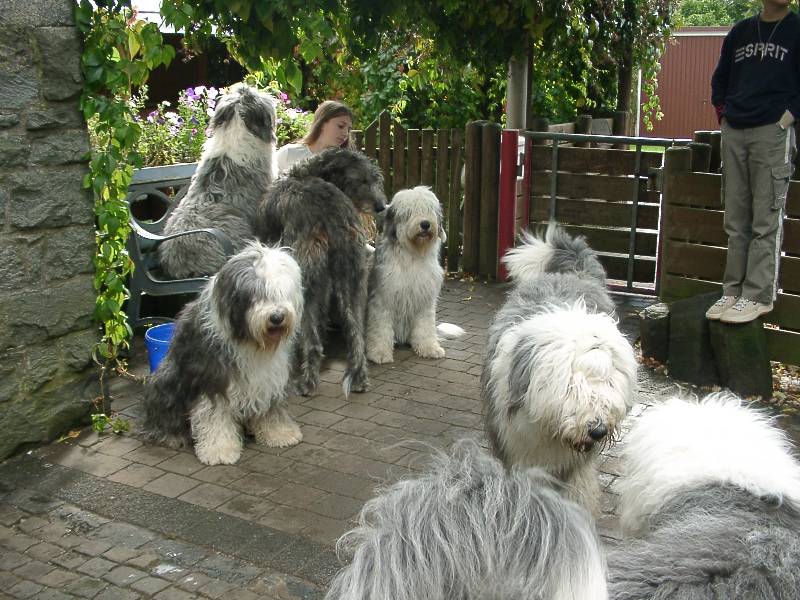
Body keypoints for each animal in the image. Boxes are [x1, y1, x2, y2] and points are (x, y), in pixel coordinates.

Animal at [139, 242, 304, 466]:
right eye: (255, 295)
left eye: (280, 293)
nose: (277, 317)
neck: (251, 341)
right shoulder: (212, 378)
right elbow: (214, 415)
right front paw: (219, 450)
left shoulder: (270, 378)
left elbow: (272, 408)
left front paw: (280, 433)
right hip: (165, 381)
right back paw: (171, 436)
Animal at [255, 148, 386, 396]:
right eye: (363, 180)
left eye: (374, 179)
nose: (382, 207)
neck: (305, 173)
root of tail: (334, 218)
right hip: (354, 277)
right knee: (356, 334)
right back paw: (360, 379)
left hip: (308, 281)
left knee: (313, 341)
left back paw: (307, 383)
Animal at [366, 186, 449, 364]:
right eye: (410, 212)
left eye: (428, 209)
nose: (425, 224)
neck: (413, 254)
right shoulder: (383, 298)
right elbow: (380, 328)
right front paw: (379, 353)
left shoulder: (425, 299)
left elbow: (425, 326)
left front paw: (429, 348)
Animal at [481, 225, 637, 515]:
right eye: (570, 388)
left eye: (608, 383)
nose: (598, 431)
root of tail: (569, 273)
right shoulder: (516, 447)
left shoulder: (576, 466)